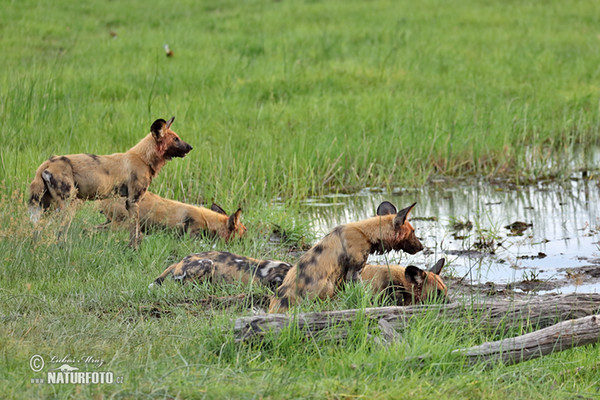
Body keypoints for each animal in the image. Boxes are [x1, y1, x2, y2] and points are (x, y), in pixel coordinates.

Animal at [27, 116, 192, 247]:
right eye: (176, 139)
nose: (190, 147)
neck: (144, 158)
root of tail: (48, 162)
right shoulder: (133, 201)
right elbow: (135, 233)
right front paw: (133, 250)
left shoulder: (127, 202)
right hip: (68, 206)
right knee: (59, 233)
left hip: (47, 207)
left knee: (38, 230)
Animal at [270, 200, 424, 312]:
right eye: (413, 232)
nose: (422, 247)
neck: (367, 234)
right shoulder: (354, 273)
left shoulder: (344, 280)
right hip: (328, 286)